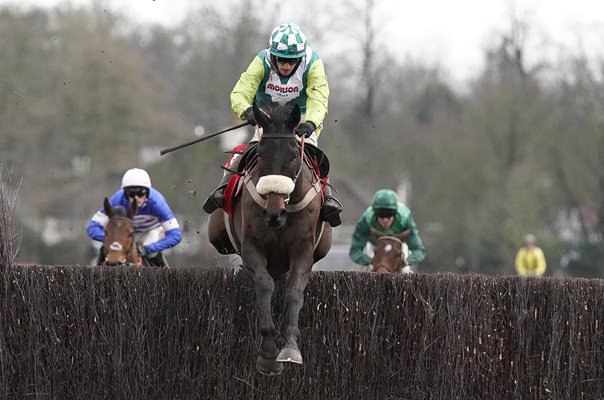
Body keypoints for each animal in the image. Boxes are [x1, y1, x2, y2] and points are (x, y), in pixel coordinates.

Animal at [206, 101, 330, 374]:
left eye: (294, 155)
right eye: (261, 154)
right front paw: (269, 353)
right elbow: (264, 285)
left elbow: (294, 291)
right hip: (217, 235)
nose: (274, 213)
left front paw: (291, 348)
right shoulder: (252, 246)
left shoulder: (303, 249)